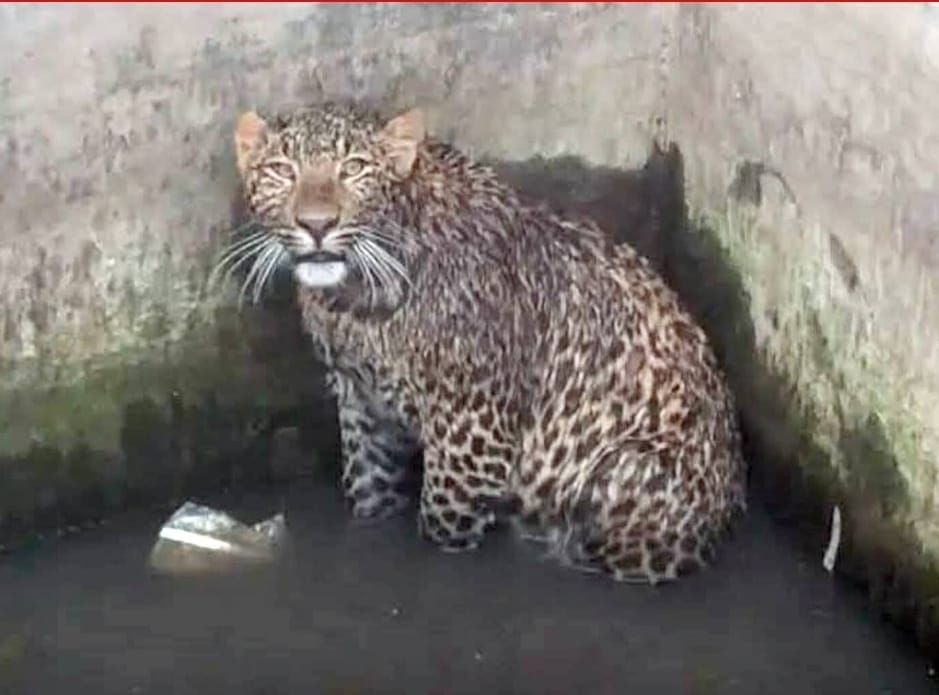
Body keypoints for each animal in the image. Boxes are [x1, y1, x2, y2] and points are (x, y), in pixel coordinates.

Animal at [228, 101, 747, 584]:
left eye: (353, 168)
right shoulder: (363, 404)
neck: (355, 298)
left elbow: (441, 526)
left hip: (623, 469)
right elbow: (368, 494)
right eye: (282, 171)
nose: (317, 225)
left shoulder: (470, 435)